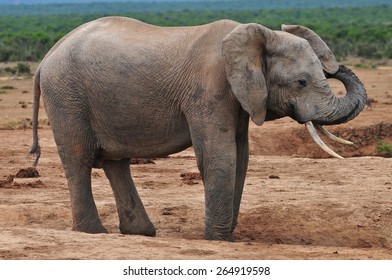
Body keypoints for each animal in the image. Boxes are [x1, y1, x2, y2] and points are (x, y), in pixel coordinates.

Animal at [30, 17, 368, 241]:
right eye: (301, 82)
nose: (334, 68)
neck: (256, 36)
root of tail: (46, 57)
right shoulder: (209, 89)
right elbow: (220, 156)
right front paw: (218, 239)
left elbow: (241, 157)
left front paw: (228, 235)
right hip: (66, 96)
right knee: (79, 159)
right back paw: (94, 232)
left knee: (116, 163)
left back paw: (141, 232)